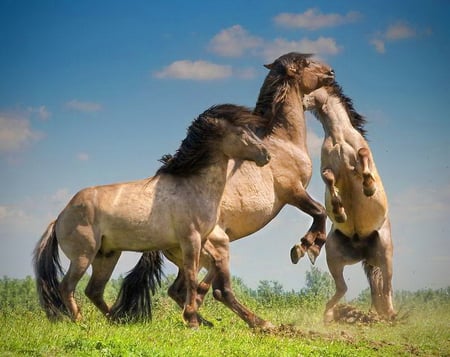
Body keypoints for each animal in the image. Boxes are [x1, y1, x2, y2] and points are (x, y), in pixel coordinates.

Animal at [33, 104, 270, 326]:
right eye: (240, 132)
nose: (266, 155)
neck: (193, 187)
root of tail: (59, 218)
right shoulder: (190, 240)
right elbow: (192, 277)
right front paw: (193, 321)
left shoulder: (201, 241)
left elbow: (203, 272)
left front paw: (195, 313)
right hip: (83, 256)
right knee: (67, 287)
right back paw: (81, 322)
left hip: (106, 256)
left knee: (94, 290)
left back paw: (117, 320)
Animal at [118, 51, 336, 326]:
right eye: (307, 63)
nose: (331, 73)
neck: (282, 141)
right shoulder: (292, 192)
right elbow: (320, 211)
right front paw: (306, 248)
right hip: (215, 248)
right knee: (219, 291)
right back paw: (259, 323)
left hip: (194, 258)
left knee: (180, 289)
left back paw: (204, 321)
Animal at [302, 82, 394, 320]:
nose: (301, 102)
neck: (339, 137)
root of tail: (363, 251)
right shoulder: (327, 168)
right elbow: (329, 178)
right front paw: (340, 211)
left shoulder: (362, 156)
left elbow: (362, 156)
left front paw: (369, 186)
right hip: (333, 255)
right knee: (343, 288)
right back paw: (328, 315)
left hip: (386, 253)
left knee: (387, 286)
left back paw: (390, 315)